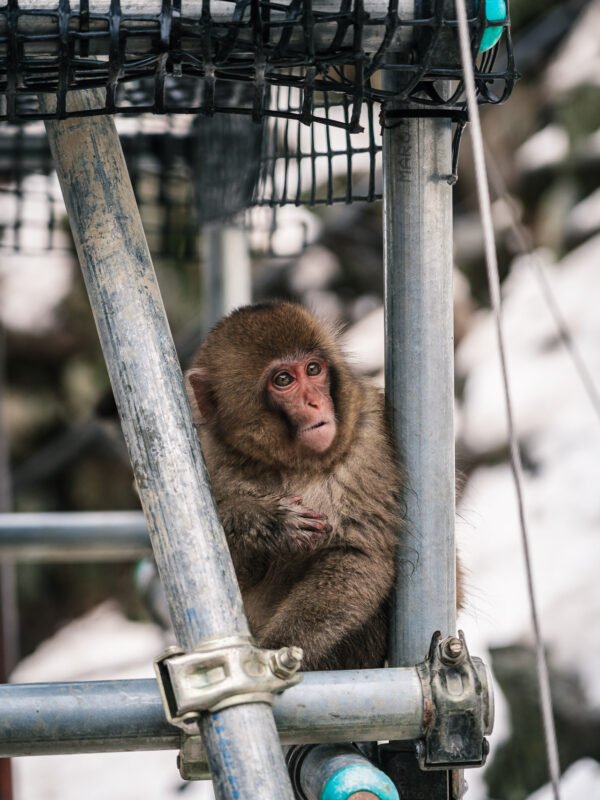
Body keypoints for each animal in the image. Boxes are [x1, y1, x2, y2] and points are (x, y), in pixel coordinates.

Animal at [185, 301, 402, 671]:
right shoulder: (212, 458)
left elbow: (358, 554)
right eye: (283, 380)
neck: (294, 464)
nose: (315, 401)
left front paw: (277, 652)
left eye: (313, 369)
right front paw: (263, 520)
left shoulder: (368, 440)